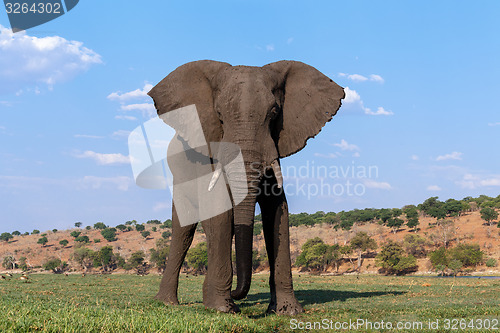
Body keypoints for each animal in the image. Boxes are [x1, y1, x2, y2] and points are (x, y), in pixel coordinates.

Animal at [147, 59, 344, 314]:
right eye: (219, 115)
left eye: (274, 113)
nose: (235, 294)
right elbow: (219, 211)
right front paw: (223, 309)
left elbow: (277, 211)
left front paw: (287, 311)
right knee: (184, 230)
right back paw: (167, 302)